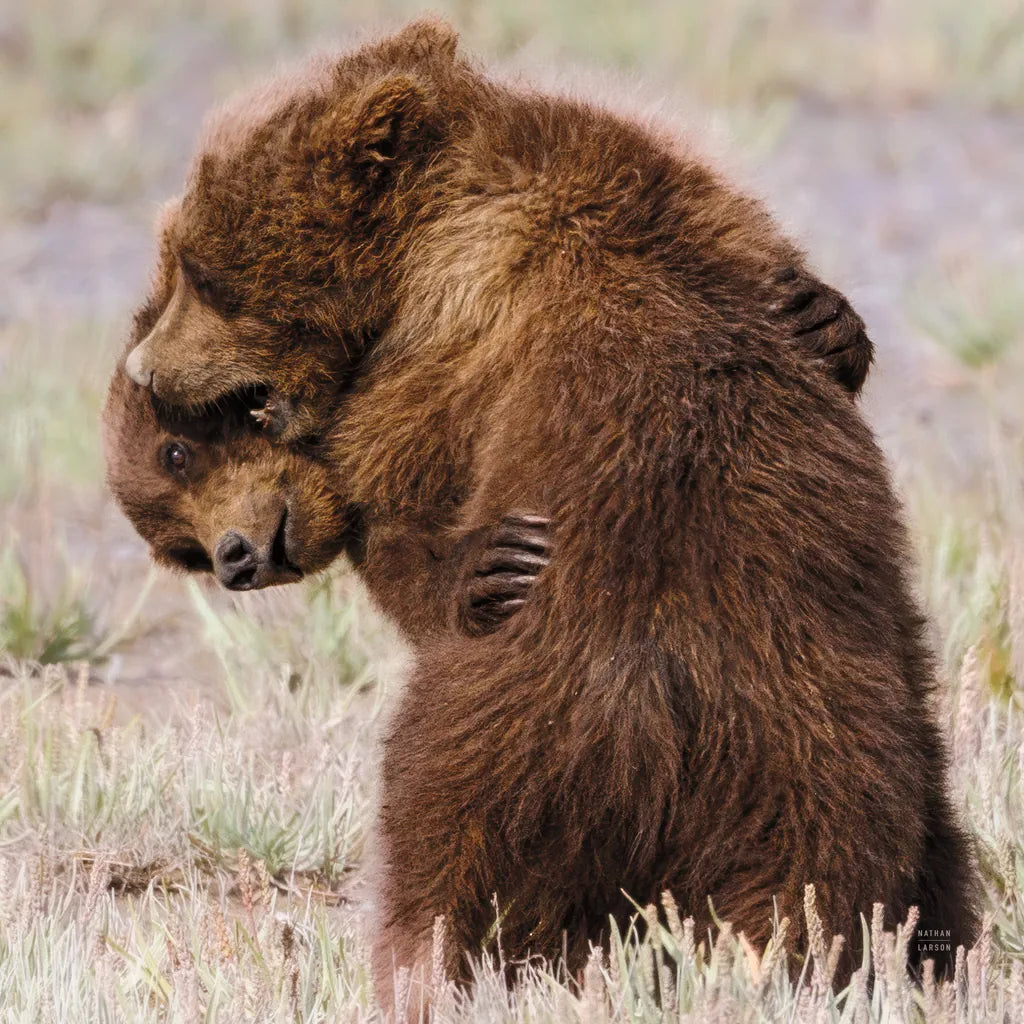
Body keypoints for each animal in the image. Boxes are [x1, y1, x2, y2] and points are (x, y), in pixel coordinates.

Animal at [105, 16, 976, 1011]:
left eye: (202, 271)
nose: (142, 367)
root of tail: (665, 711)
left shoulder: (437, 361)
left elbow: (411, 504)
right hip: (837, 744)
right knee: (847, 872)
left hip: (511, 735)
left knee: (439, 846)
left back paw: (425, 966)